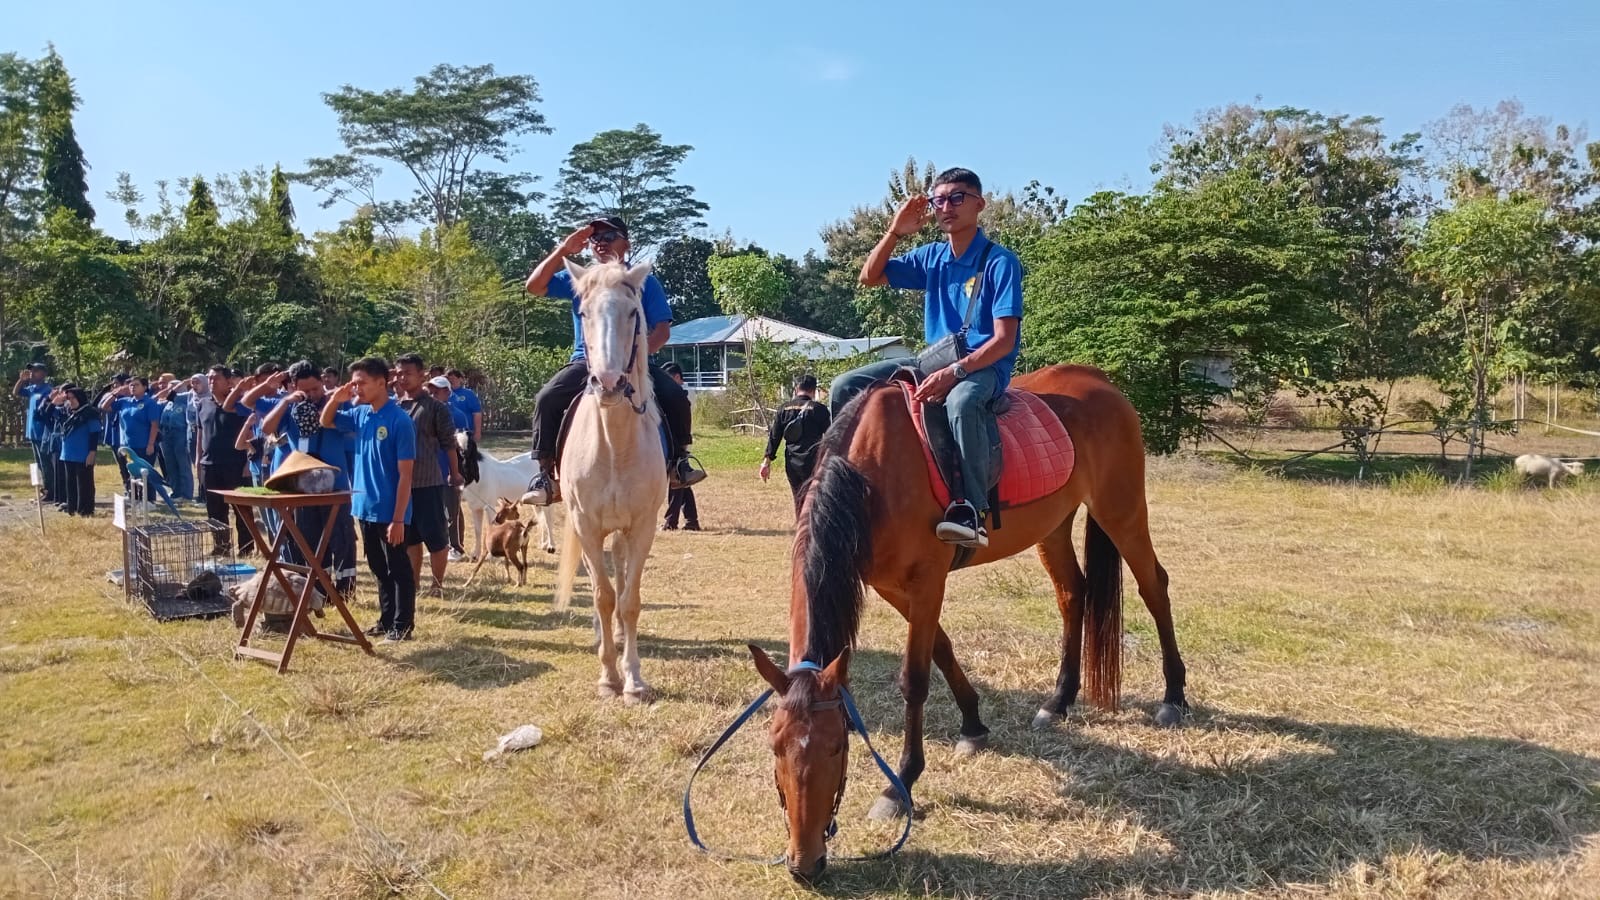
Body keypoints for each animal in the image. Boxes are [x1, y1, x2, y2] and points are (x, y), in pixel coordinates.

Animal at [556, 259, 668, 701]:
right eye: (583, 312)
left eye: (633, 312)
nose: (608, 383)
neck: (614, 444)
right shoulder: (585, 524)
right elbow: (603, 596)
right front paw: (608, 677)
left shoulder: (643, 526)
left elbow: (629, 599)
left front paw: (633, 679)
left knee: (619, 570)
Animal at [748, 361, 1190, 877]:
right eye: (775, 746)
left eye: (837, 747)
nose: (805, 864)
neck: (871, 476)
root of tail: (1099, 381)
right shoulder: (890, 585)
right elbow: (942, 647)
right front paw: (973, 724)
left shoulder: (926, 581)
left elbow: (915, 679)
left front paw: (900, 784)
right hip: (1054, 524)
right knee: (1072, 594)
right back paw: (1059, 700)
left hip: (1122, 510)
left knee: (1154, 587)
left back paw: (1173, 696)